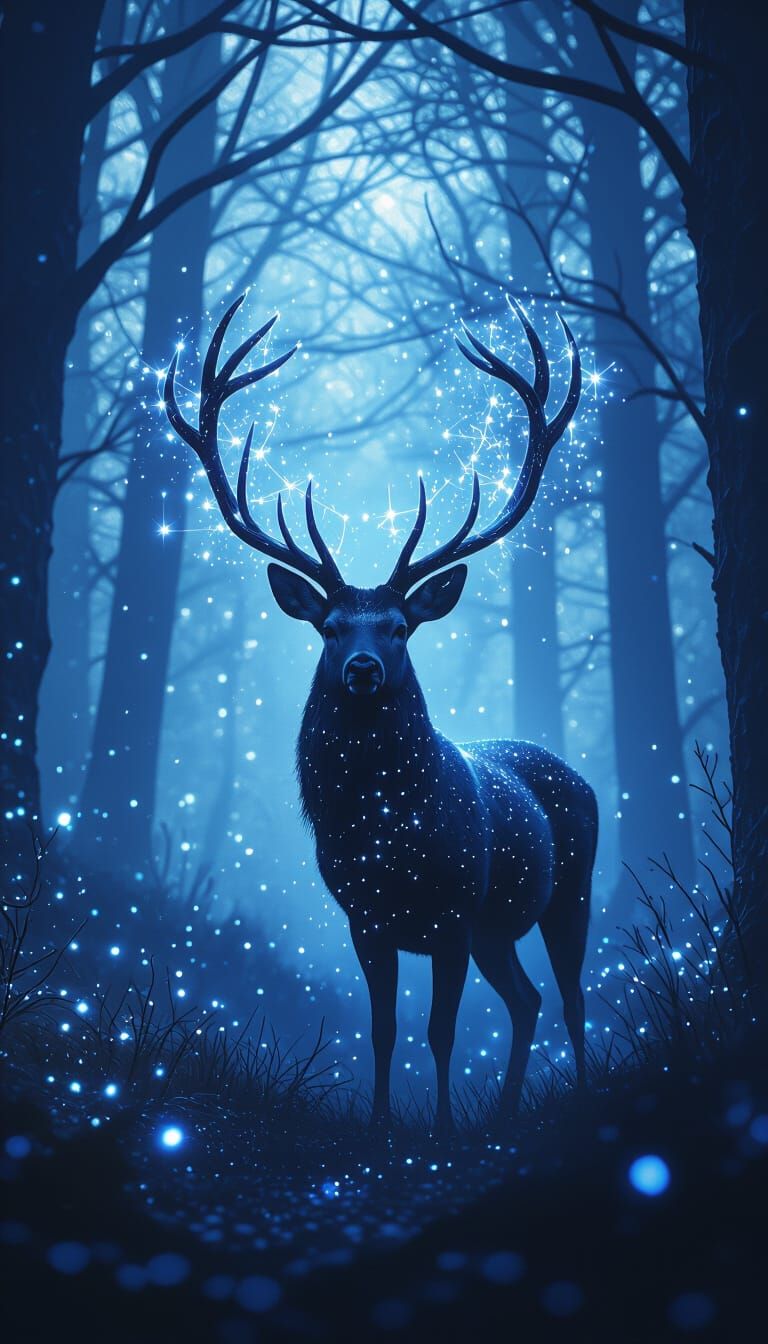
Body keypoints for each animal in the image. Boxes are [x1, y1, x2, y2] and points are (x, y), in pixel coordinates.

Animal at [163, 293, 598, 1132]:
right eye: (332, 628)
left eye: (398, 627)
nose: (362, 668)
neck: (390, 841)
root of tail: (577, 775)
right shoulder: (364, 918)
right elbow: (385, 1027)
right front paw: (379, 1130)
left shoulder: (454, 912)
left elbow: (441, 1031)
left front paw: (438, 1133)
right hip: (498, 929)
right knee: (526, 1000)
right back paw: (502, 1115)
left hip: (569, 890)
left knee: (569, 997)